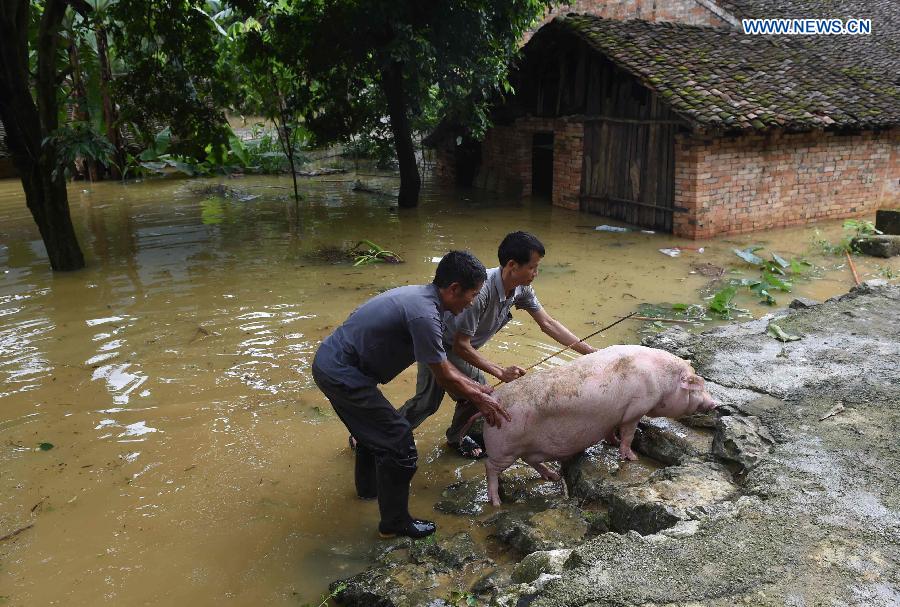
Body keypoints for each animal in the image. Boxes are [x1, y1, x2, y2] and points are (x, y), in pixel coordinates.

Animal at [472, 344, 716, 506]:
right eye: (696, 385)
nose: (715, 404)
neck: (662, 381)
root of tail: (491, 403)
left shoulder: (613, 416)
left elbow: (611, 431)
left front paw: (612, 442)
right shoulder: (635, 410)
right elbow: (629, 434)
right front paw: (631, 457)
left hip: (526, 448)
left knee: (530, 460)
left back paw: (553, 476)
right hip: (503, 448)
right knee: (490, 467)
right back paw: (496, 502)